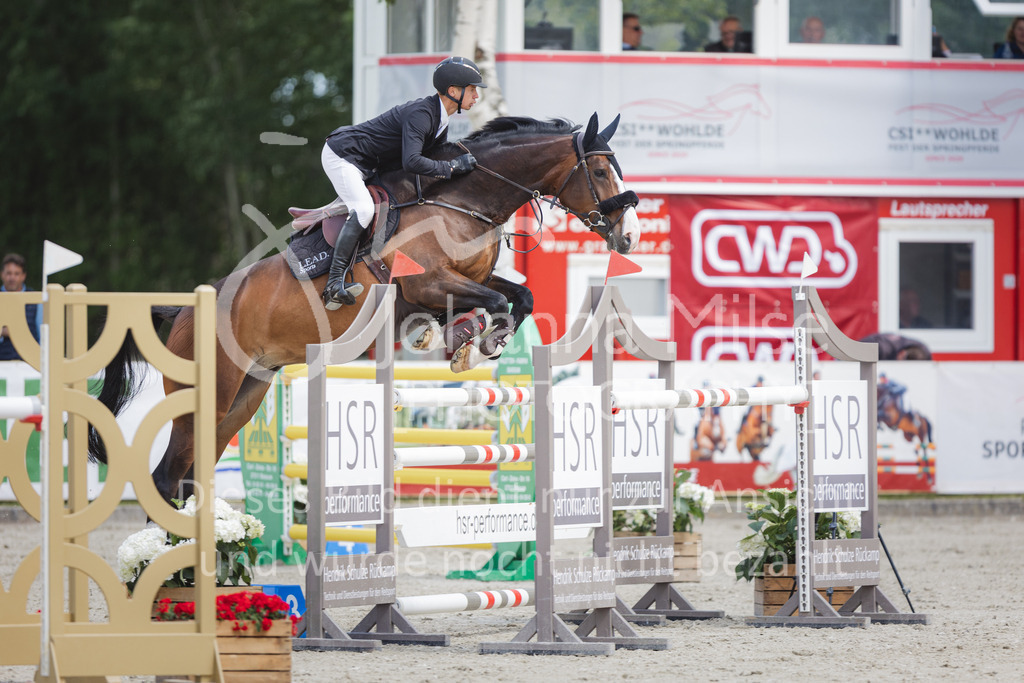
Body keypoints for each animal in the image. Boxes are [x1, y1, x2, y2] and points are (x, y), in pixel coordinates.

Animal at [90, 113, 641, 505]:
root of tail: (183, 311)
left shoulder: (471, 278)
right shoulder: (429, 283)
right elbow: (494, 300)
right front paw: (469, 342)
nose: (629, 236)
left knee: (189, 478)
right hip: (207, 394)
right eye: (598, 170)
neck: (463, 201)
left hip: (244, 395)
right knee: (168, 480)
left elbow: (517, 297)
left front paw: (472, 340)